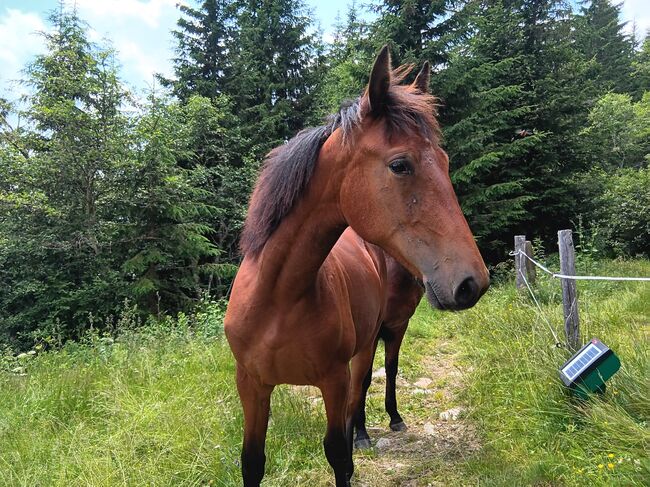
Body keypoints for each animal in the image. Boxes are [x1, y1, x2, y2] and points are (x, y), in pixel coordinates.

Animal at [352, 255, 422, 450]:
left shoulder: (398, 327)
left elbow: (391, 369)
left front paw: (395, 417)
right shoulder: (371, 337)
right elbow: (363, 379)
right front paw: (360, 433)